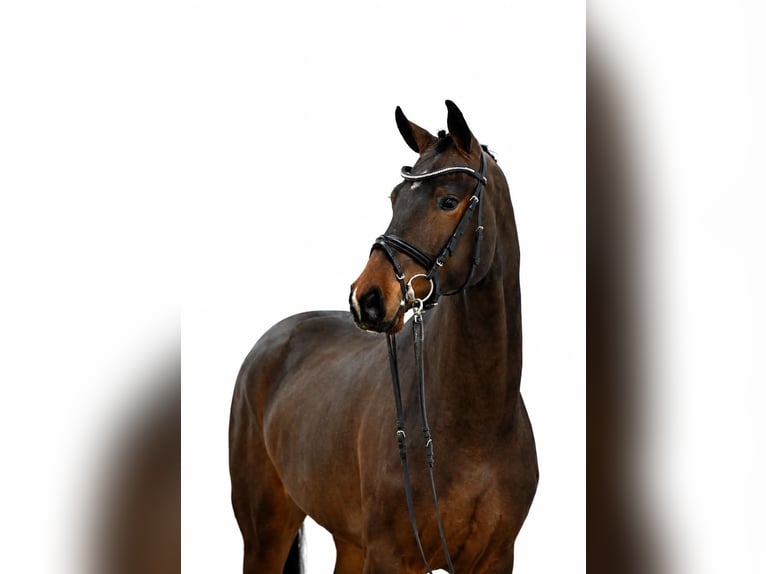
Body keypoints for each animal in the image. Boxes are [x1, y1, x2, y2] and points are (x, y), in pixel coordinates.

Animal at [229, 100, 538, 574]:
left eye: (448, 201)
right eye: (395, 197)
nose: (369, 298)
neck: (477, 426)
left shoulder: (496, 559)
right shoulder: (390, 555)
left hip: (348, 542)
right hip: (266, 530)